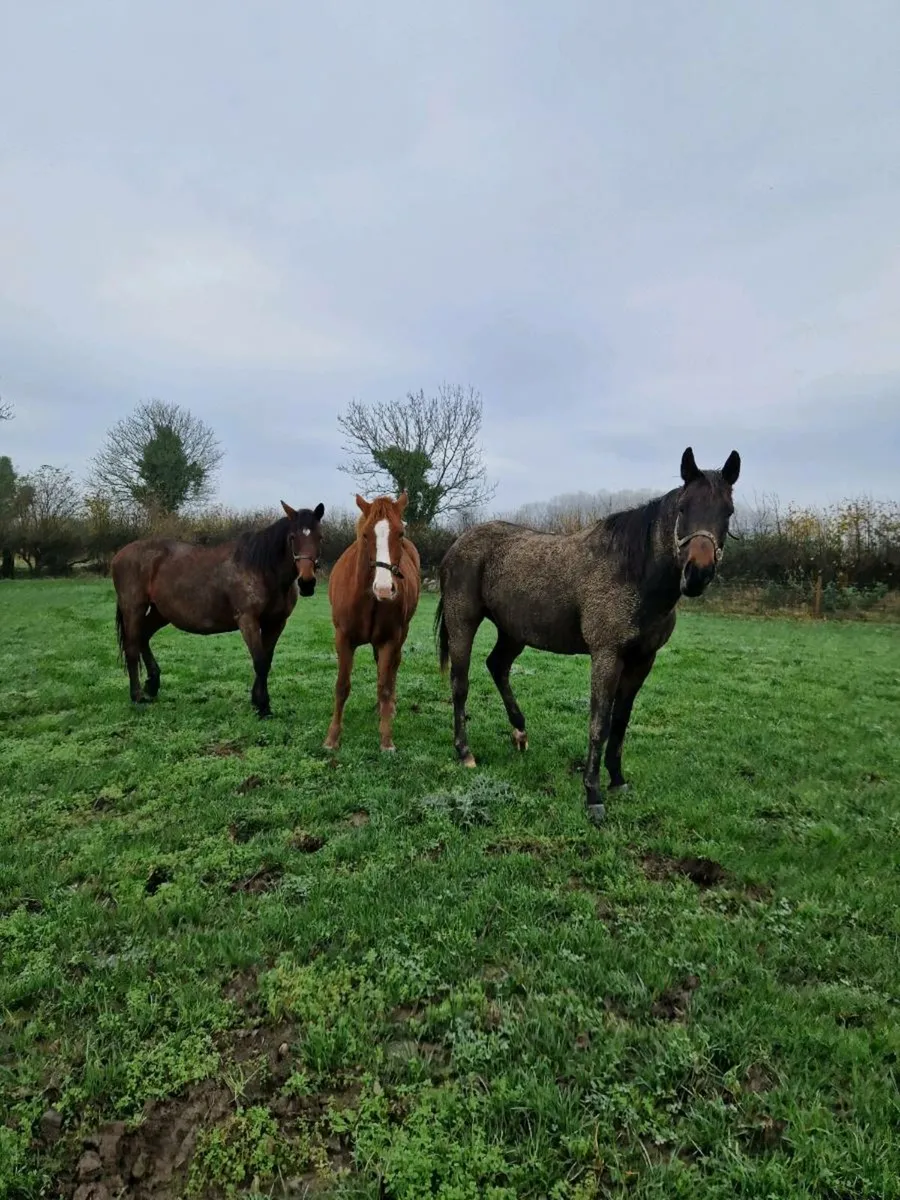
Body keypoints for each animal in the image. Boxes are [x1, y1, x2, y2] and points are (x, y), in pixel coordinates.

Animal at [111, 501, 325, 716]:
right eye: (292, 537)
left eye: (320, 536)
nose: (307, 582)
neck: (263, 570)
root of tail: (120, 555)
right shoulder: (247, 620)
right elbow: (260, 662)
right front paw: (263, 707)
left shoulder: (276, 623)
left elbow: (267, 659)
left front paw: (257, 701)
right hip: (134, 608)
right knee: (132, 647)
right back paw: (137, 696)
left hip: (160, 612)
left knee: (143, 637)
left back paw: (152, 685)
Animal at [323, 491, 421, 752]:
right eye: (366, 534)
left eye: (401, 533)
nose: (385, 589)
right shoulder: (343, 639)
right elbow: (342, 686)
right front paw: (332, 738)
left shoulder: (389, 639)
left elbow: (385, 686)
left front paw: (386, 740)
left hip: (402, 633)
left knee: (392, 668)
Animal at [434, 446, 741, 825]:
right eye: (683, 508)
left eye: (728, 511)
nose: (697, 573)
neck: (634, 571)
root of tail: (456, 545)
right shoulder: (607, 655)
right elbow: (600, 722)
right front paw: (592, 794)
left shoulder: (642, 660)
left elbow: (621, 722)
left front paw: (617, 780)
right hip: (463, 622)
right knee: (460, 684)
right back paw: (465, 752)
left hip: (513, 631)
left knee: (497, 666)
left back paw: (519, 732)